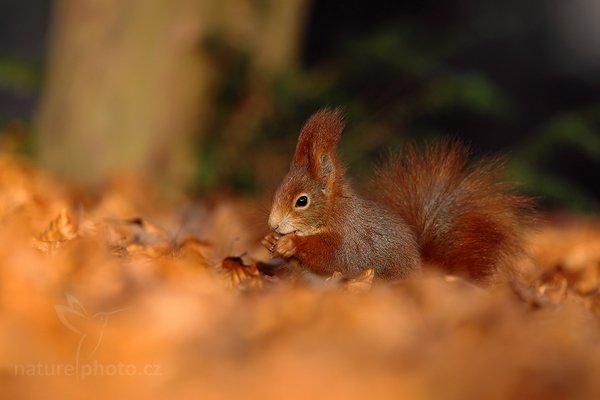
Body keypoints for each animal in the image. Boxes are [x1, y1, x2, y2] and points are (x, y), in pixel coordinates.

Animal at [260, 107, 532, 282]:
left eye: (302, 201)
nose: (273, 223)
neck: (333, 213)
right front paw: (269, 240)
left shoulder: (351, 240)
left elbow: (335, 258)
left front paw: (290, 243)